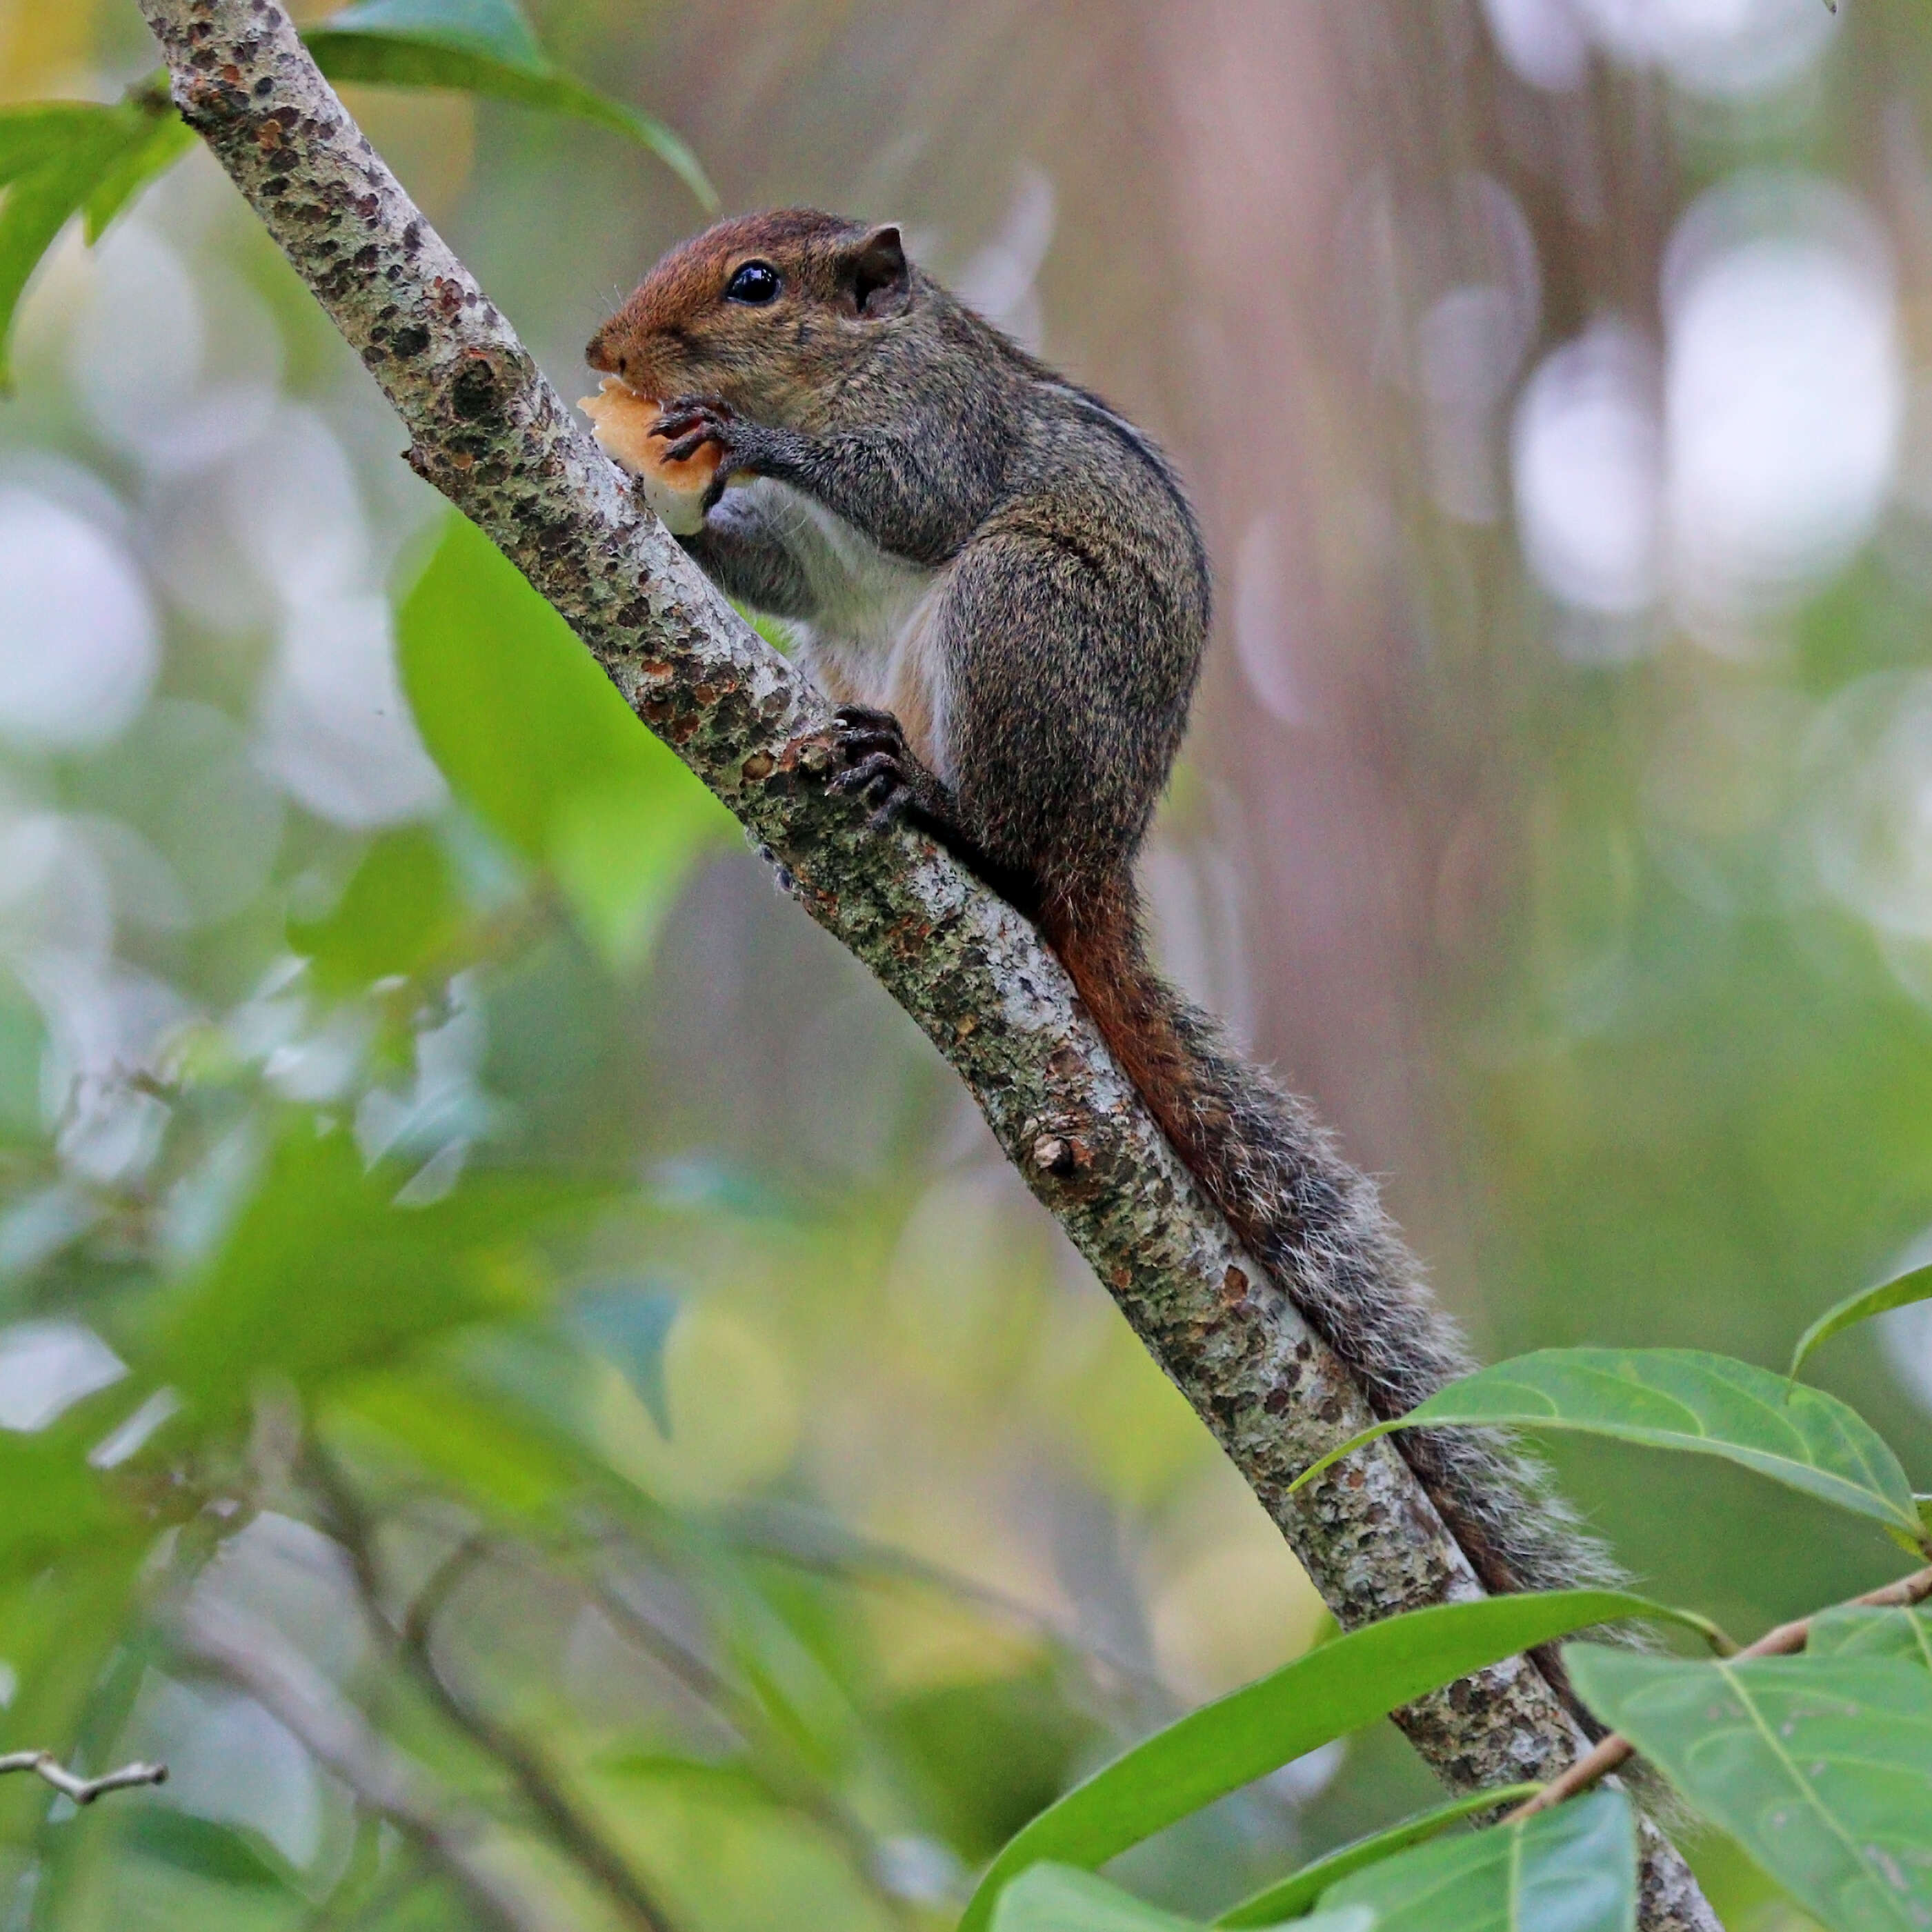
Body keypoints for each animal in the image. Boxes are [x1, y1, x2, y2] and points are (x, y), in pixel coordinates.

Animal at [583, 208, 1615, 1615]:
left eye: (754, 282)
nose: (606, 352)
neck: (853, 359)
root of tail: (1099, 854)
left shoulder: (947, 424)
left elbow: (916, 490)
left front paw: (739, 439)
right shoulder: (800, 566)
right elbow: (771, 574)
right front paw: (659, 506)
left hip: (1020, 616)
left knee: (1009, 835)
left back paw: (937, 805)